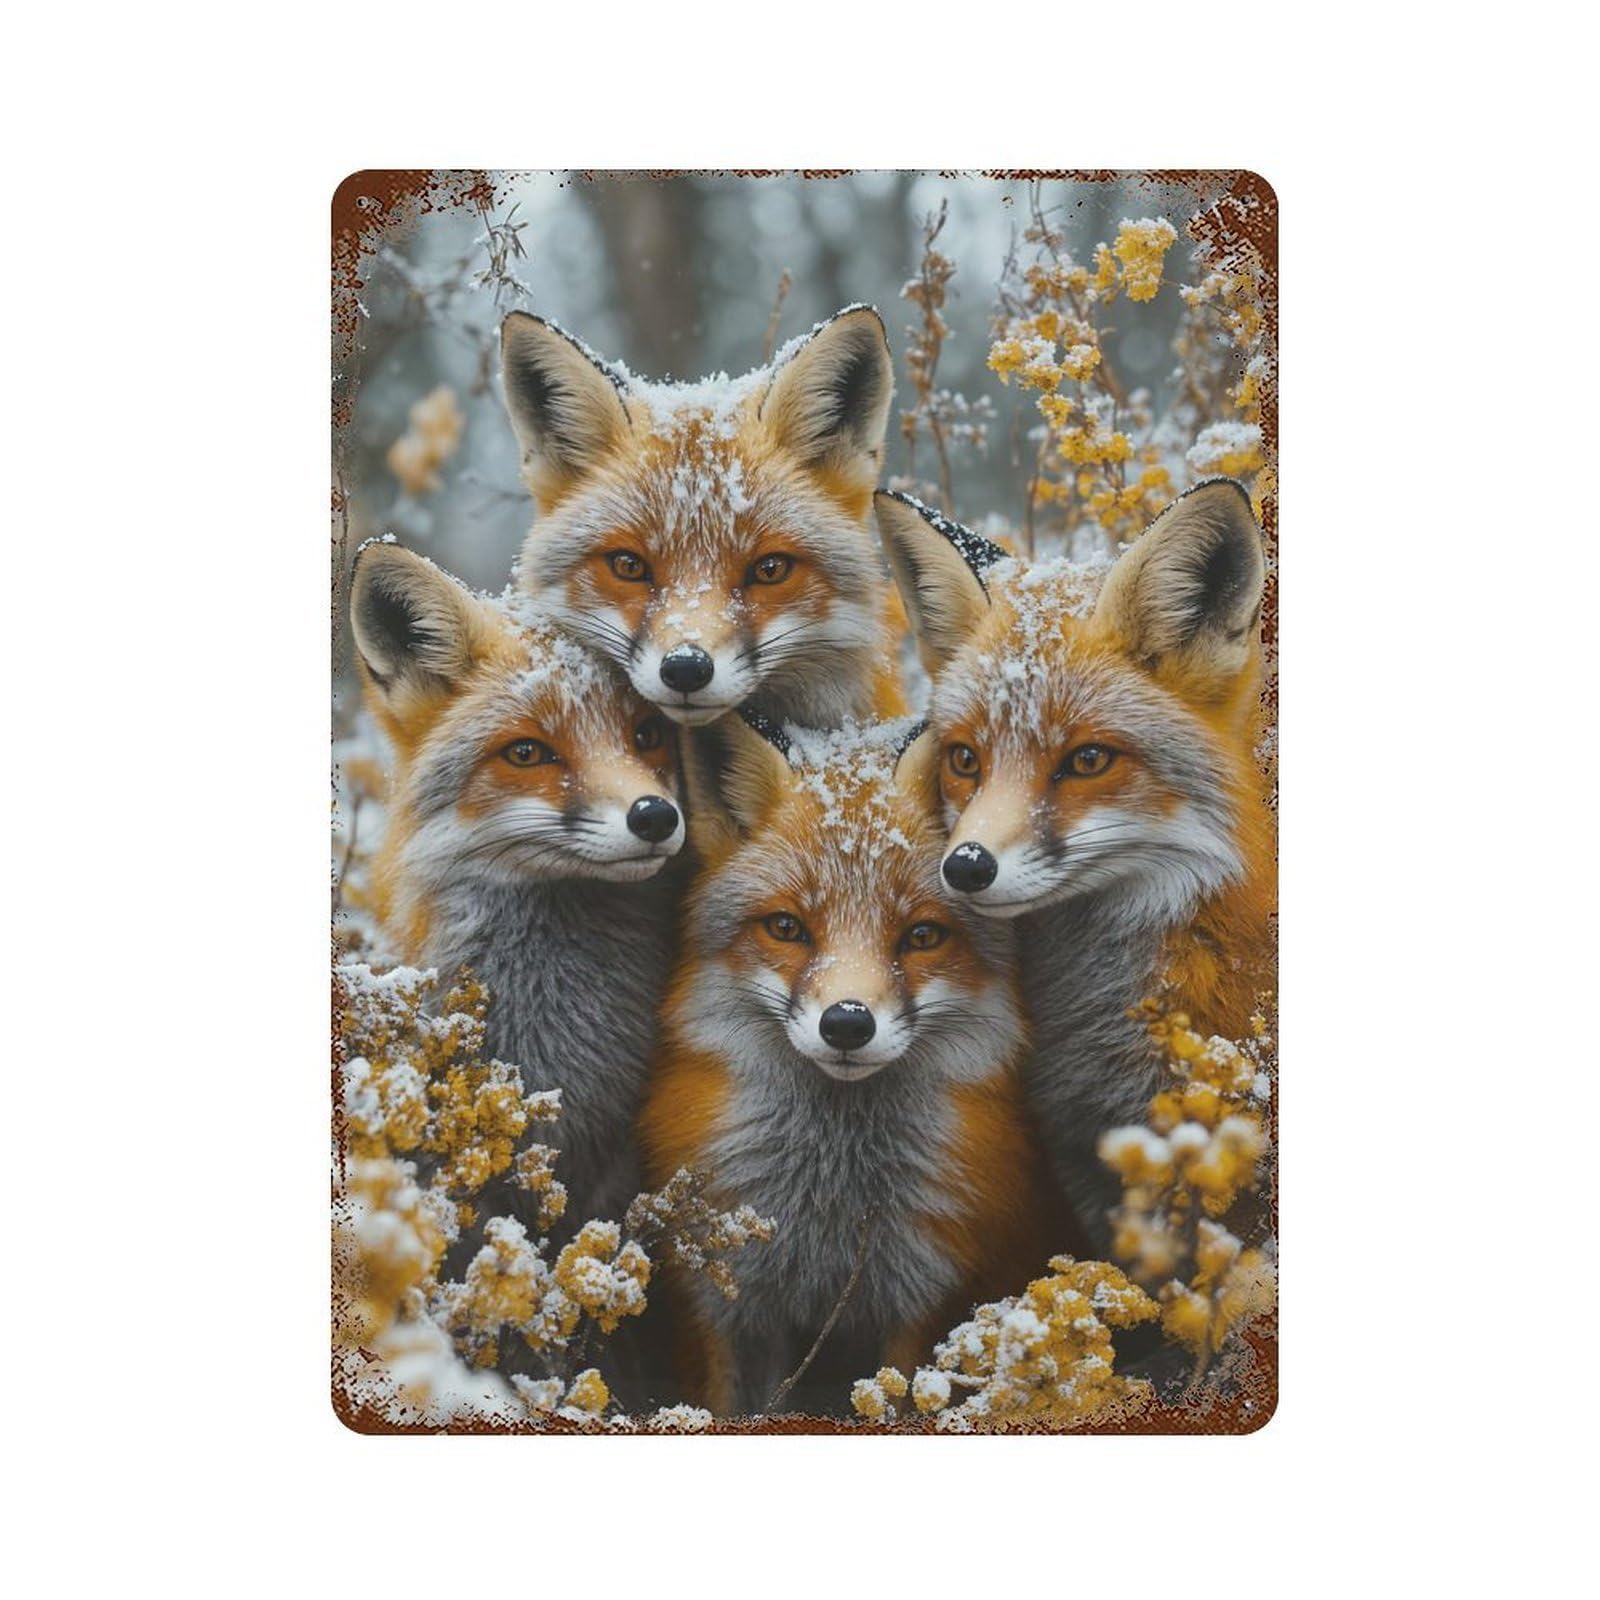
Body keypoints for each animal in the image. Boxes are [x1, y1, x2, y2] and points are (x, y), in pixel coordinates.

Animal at [638, 710, 1055, 1417]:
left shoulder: (923, 1290)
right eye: (786, 928)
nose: (848, 1023)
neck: (830, 1200)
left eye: (922, 936)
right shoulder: (726, 1294)